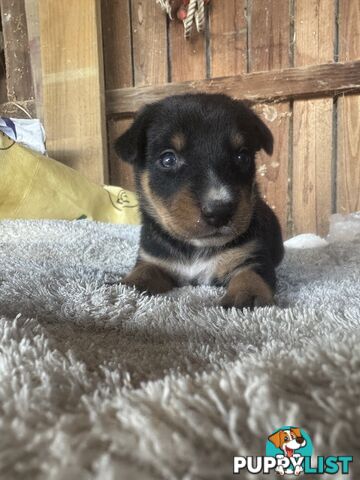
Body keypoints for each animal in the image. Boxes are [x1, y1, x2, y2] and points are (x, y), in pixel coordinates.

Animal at [115, 94, 284, 308]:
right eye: (168, 159)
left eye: (242, 156)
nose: (219, 212)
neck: (195, 247)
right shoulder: (153, 258)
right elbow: (143, 272)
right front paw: (125, 285)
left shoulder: (253, 256)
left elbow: (251, 276)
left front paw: (248, 298)